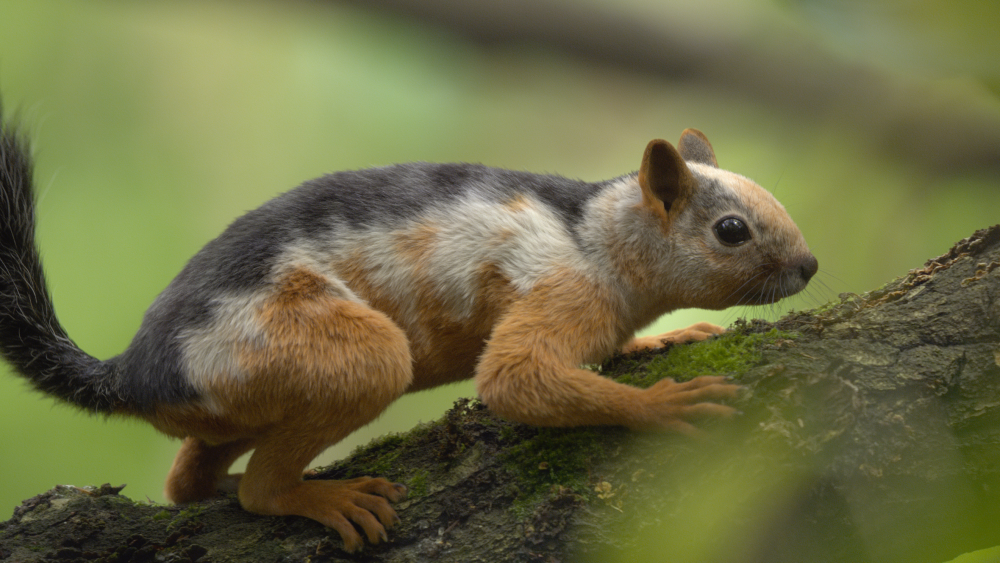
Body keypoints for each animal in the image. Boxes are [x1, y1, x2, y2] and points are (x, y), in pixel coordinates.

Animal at [0, 102, 817, 552]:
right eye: (731, 230)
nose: (810, 266)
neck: (599, 237)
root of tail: (136, 372)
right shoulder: (562, 288)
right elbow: (514, 379)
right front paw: (665, 403)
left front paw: (667, 337)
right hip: (335, 351)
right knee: (258, 490)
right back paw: (316, 496)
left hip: (233, 400)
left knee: (185, 481)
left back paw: (219, 481)